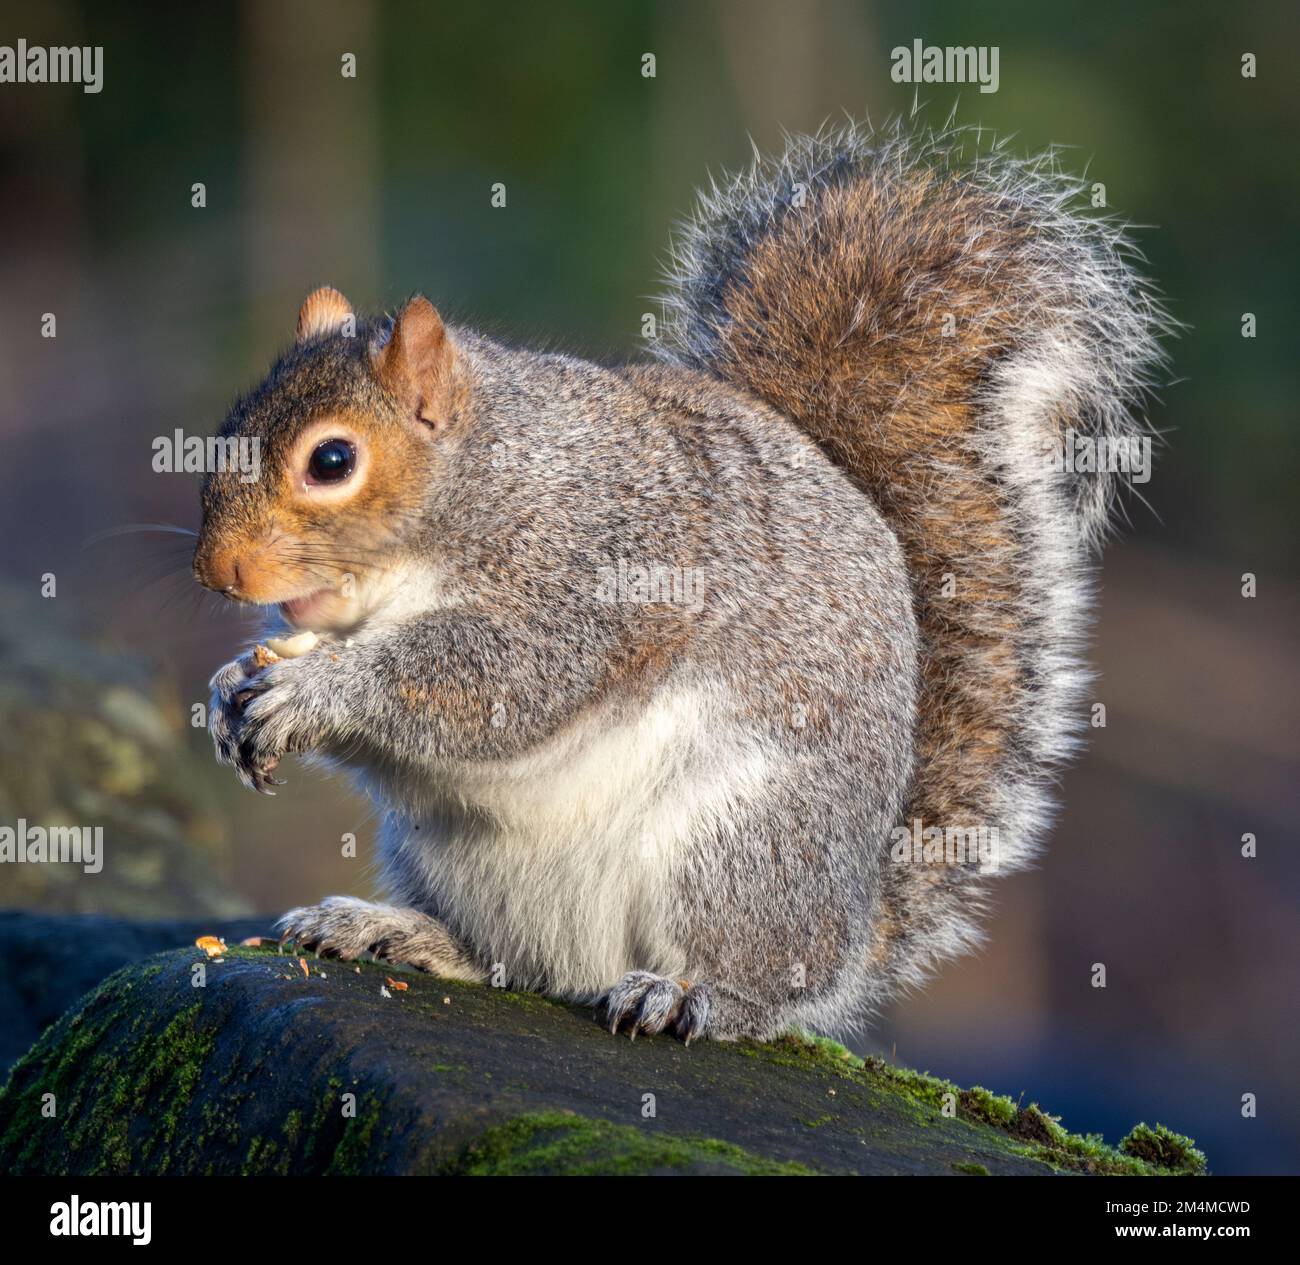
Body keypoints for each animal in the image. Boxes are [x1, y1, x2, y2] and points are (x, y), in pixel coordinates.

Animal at [189, 120, 1170, 1034]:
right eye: (233, 420)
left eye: (333, 460)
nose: (216, 570)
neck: (487, 478)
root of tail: (852, 924)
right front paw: (232, 685)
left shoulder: (595, 571)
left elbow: (496, 679)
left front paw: (316, 691)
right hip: (451, 858)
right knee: (510, 961)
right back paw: (401, 932)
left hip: (733, 845)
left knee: (760, 989)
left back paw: (690, 996)